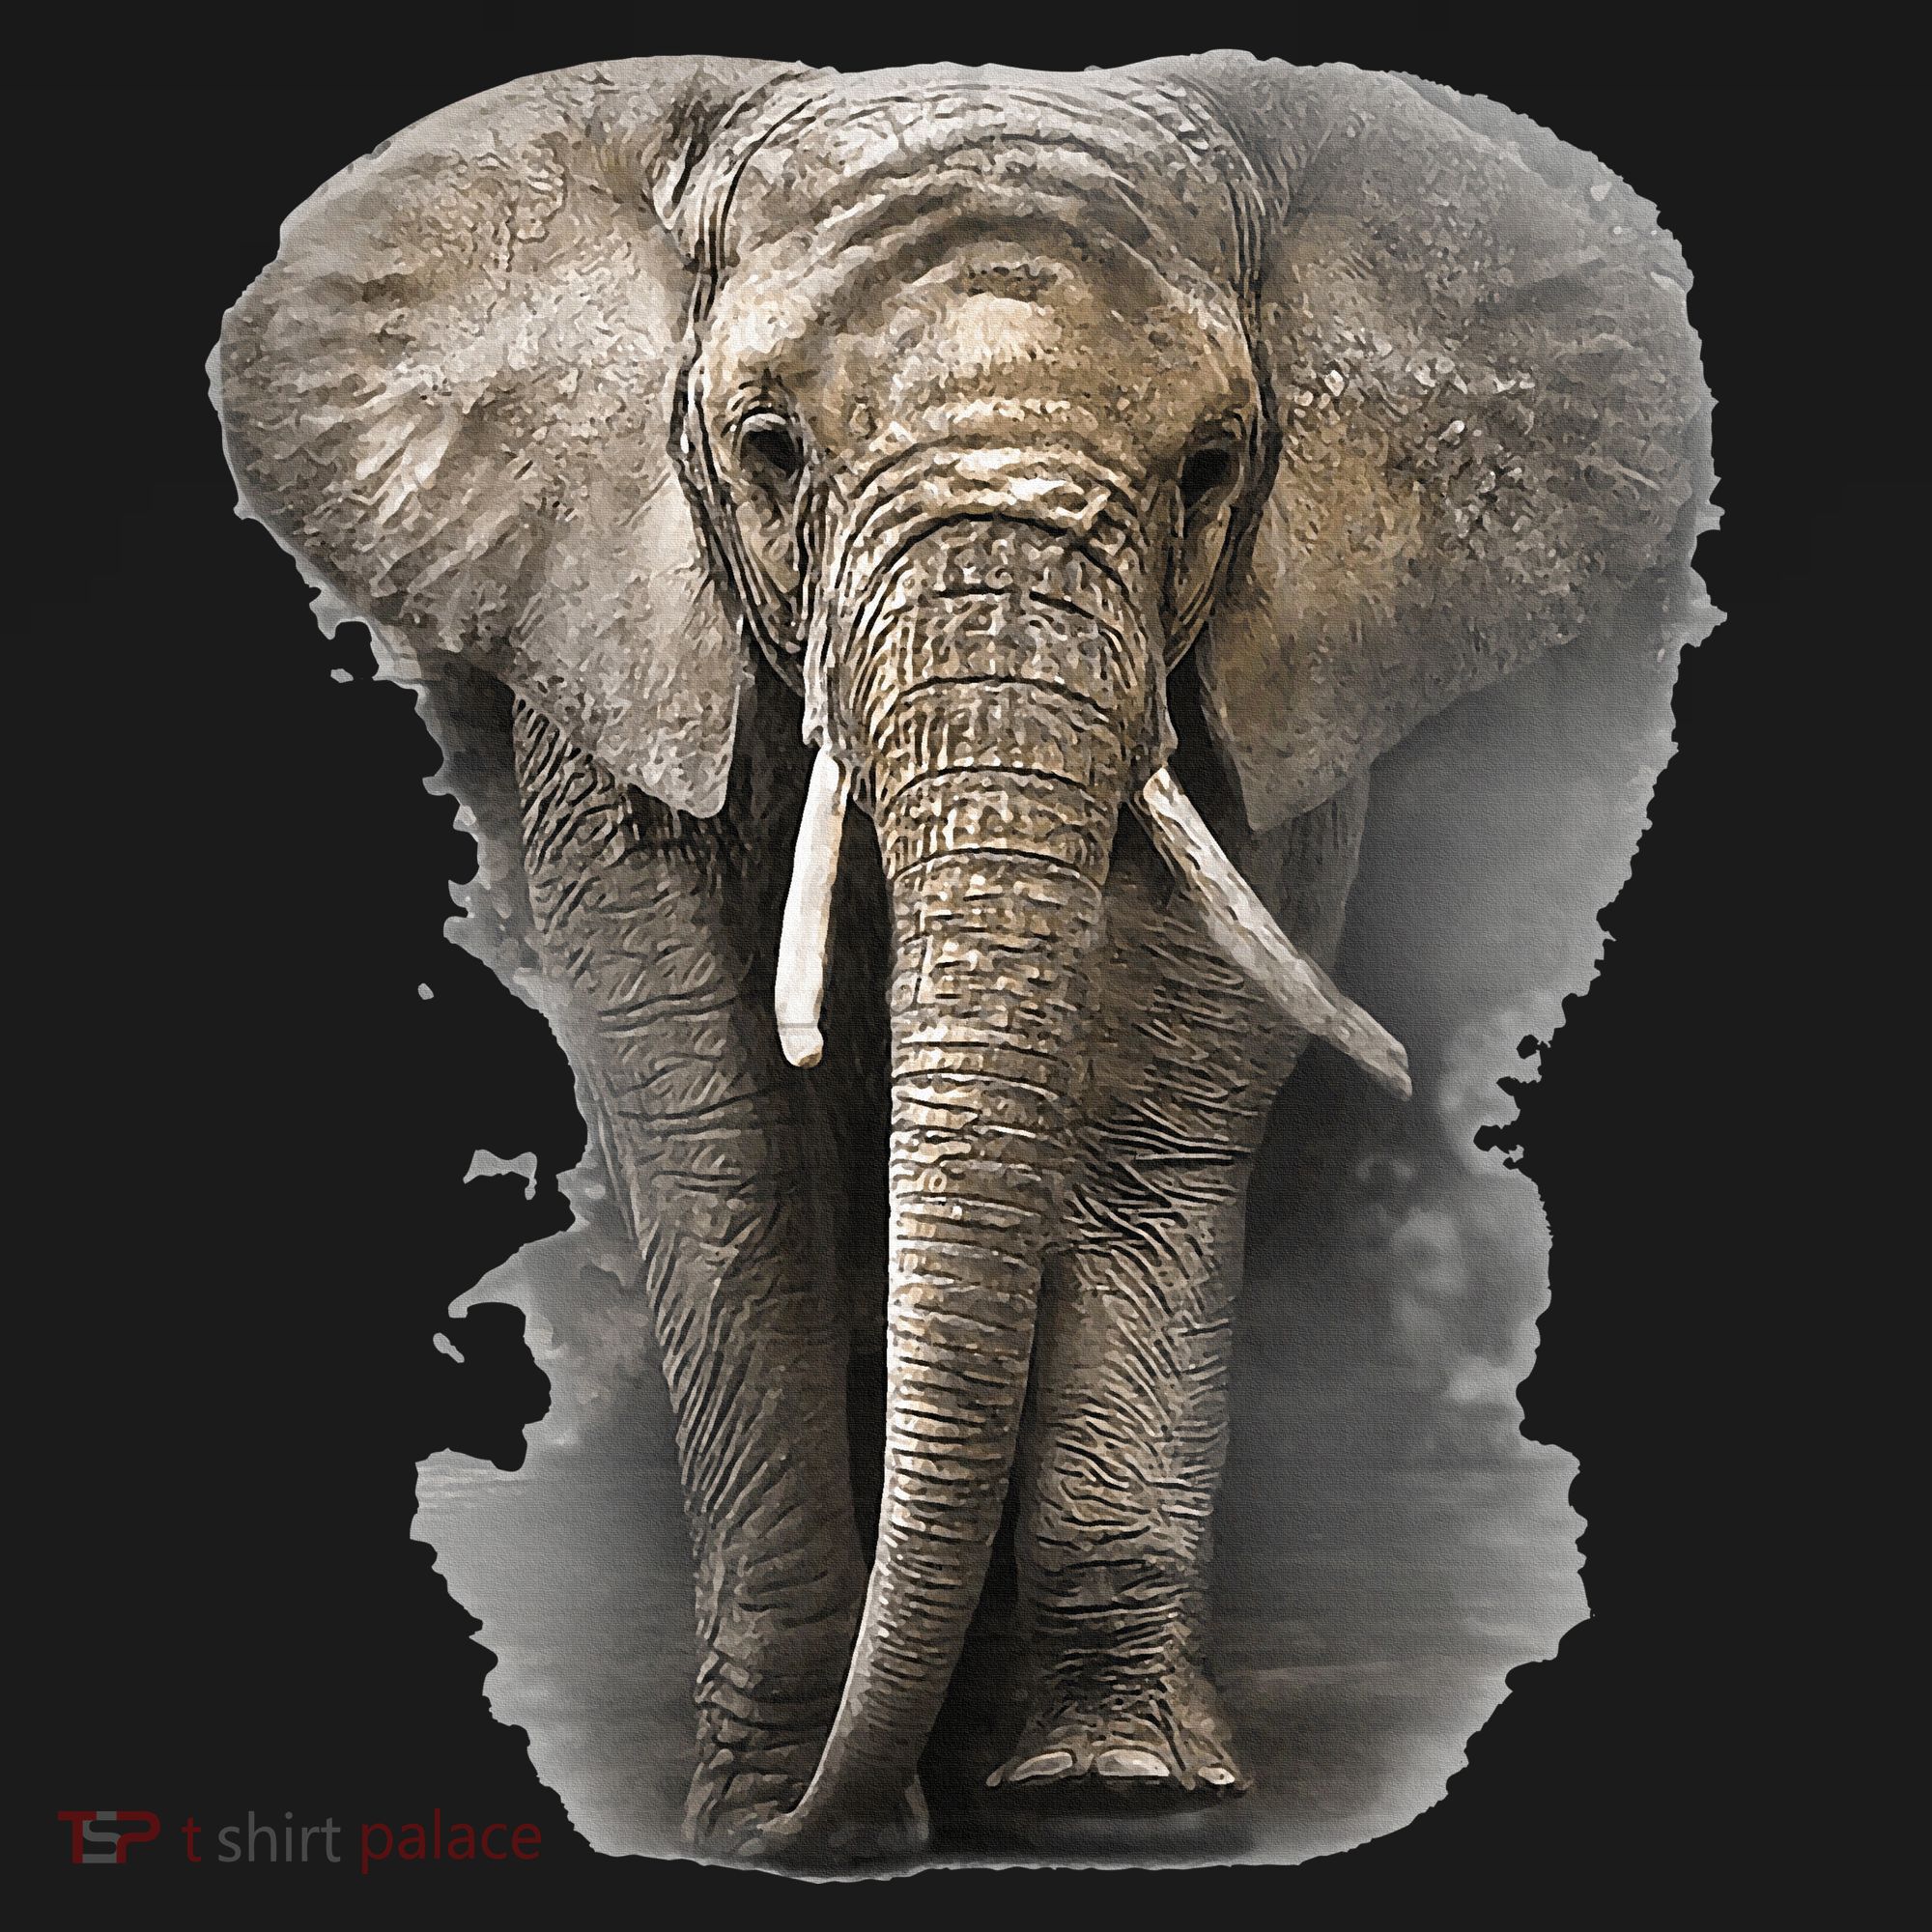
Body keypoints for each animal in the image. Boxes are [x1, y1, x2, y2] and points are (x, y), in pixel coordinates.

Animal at [214, 54, 1709, 1865]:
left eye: (1213, 466)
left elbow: (1149, 1093)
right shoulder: (613, 630)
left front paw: (1123, 1795)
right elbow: (714, 1116)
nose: (829, 1835)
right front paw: (772, 1805)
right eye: (769, 448)